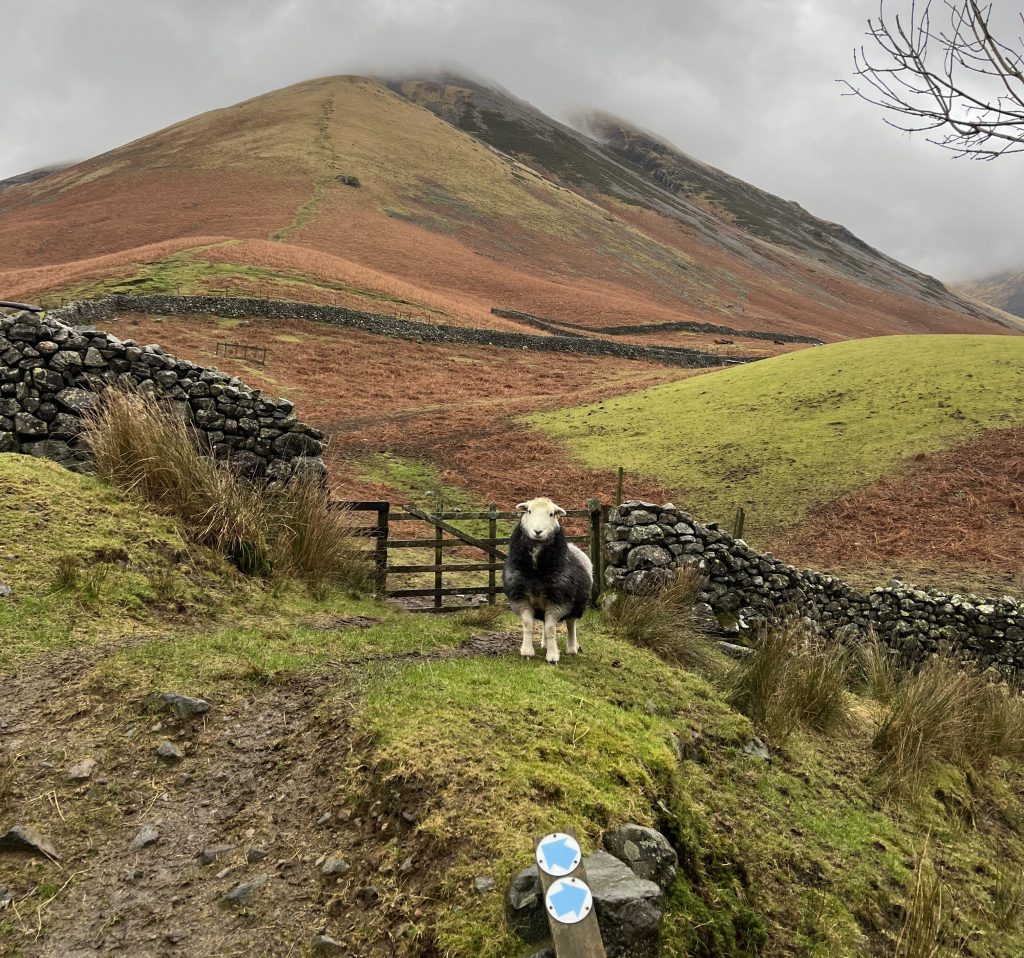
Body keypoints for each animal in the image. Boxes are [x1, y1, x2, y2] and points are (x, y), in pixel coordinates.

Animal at [501, 493, 593, 667]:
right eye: (529, 511)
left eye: (551, 514)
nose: (538, 531)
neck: (536, 573)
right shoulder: (521, 597)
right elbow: (528, 625)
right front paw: (527, 652)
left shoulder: (558, 600)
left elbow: (551, 629)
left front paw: (552, 656)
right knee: (545, 622)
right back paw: (544, 644)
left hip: (577, 604)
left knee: (571, 624)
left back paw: (571, 648)